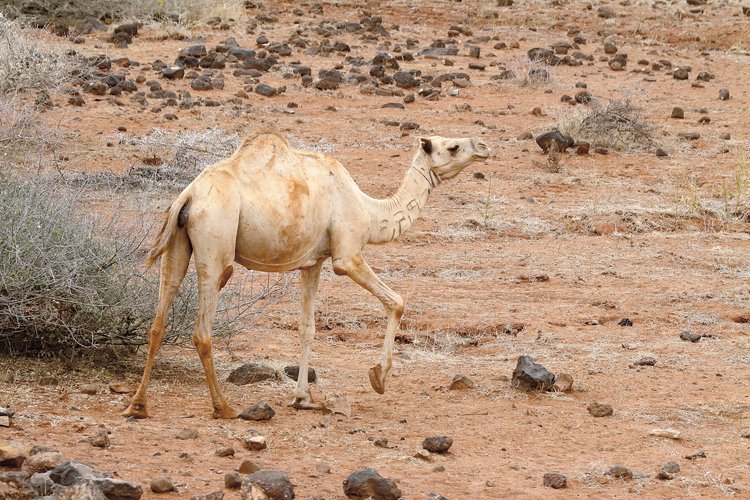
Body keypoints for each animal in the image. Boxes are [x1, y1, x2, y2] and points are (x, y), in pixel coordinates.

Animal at [125, 133, 494, 418]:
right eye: (452, 147)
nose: (483, 146)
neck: (369, 211)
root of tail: (188, 196)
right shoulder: (346, 255)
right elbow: (397, 301)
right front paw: (378, 376)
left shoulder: (312, 263)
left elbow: (307, 328)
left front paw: (303, 399)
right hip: (215, 247)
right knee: (202, 330)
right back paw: (223, 408)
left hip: (177, 244)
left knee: (158, 322)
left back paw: (138, 406)